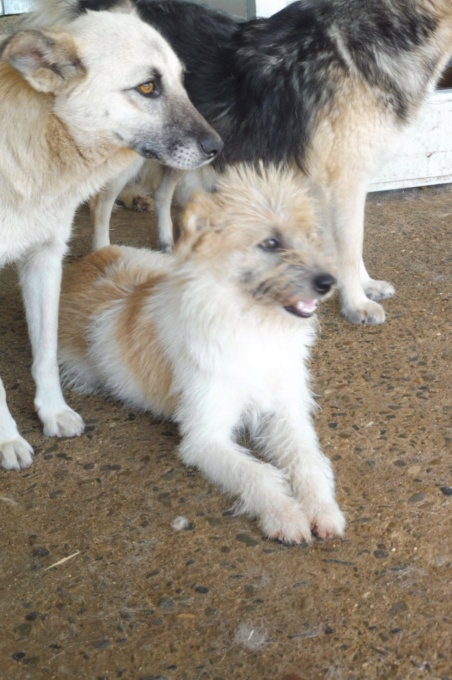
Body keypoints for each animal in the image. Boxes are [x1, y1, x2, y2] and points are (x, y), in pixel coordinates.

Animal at [58, 165, 344, 540]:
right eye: (270, 243)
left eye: (311, 237)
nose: (330, 282)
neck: (252, 325)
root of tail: (90, 261)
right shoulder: (205, 437)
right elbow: (258, 473)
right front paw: (284, 514)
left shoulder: (286, 412)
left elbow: (307, 459)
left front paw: (323, 508)